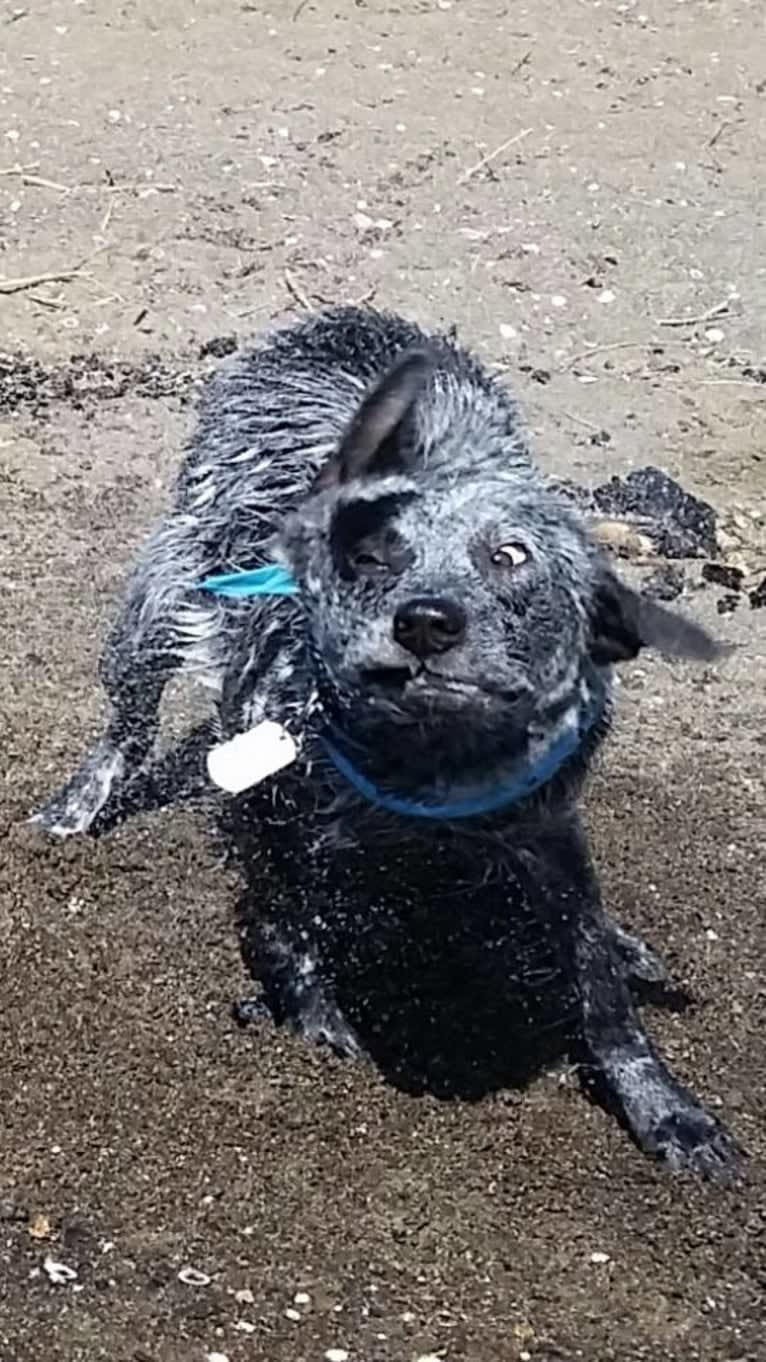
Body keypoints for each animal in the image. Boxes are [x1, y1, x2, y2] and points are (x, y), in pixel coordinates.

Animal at [34, 309, 741, 1182]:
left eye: (511, 556)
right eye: (371, 552)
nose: (426, 621)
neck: (427, 761)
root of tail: (343, 316)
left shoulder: (547, 826)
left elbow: (597, 978)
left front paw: (665, 1107)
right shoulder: (268, 798)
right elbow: (289, 927)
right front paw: (314, 1030)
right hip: (161, 601)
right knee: (126, 726)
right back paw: (73, 811)